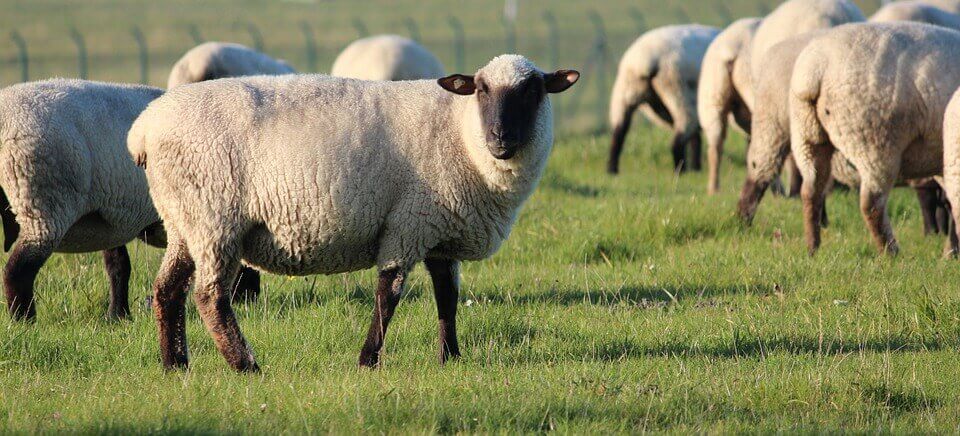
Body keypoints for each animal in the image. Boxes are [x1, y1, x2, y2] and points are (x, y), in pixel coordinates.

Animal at [0, 80, 260, 322]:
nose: (251, 297)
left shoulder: (112, 216)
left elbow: (118, 266)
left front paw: (118, 315)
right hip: (43, 204)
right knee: (18, 270)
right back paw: (24, 321)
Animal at [127, 52, 576, 370]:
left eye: (533, 92)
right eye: (481, 90)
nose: (500, 137)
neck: (460, 130)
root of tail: (143, 130)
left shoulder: (439, 231)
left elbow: (447, 298)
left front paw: (451, 358)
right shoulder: (407, 224)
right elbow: (388, 294)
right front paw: (368, 360)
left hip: (185, 221)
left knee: (167, 291)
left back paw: (175, 365)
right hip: (214, 218)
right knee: (209, 296)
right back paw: (246, 365)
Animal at [608, 24, 720, 175]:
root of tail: (646, 59)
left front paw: (696, 168)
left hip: (625, 92)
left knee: (618, 134)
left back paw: (612, 171)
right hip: (680, 92)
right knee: (679, 139)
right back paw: (681, 171)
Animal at [788, 23, 960, 255]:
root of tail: (817, 68)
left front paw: (951, 252)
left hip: (807, 135)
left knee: (811, 191)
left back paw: (812, 248)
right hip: (876, 142)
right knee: (871, 203)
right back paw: (890, 252)